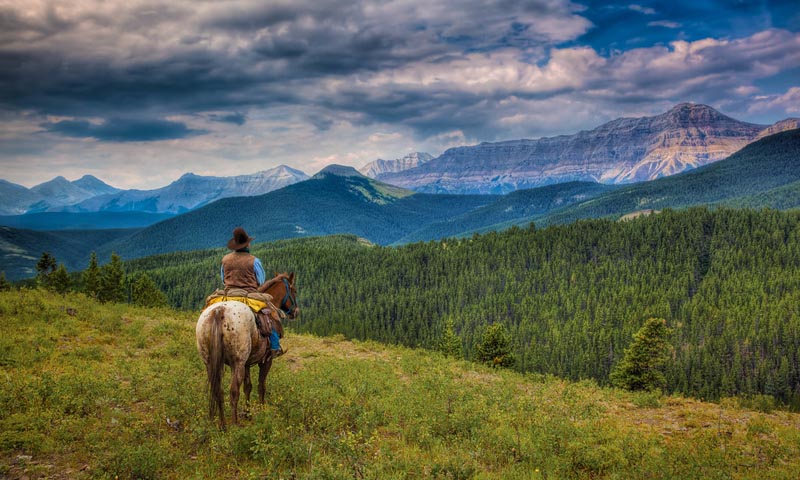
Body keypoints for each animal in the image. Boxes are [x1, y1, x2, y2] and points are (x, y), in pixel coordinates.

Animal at [197, 272, 300, 426]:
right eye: (294, 291)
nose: (296, 312)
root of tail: (219, 311)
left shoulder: (247, 364)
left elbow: (248, 387)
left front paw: (248, 413)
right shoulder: (265, 361)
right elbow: (261, 386)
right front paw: (262, 412)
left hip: (210, 362)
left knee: (218, 390)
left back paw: (222, 425)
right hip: (237, 363)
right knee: (233, 391)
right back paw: (234, 423)